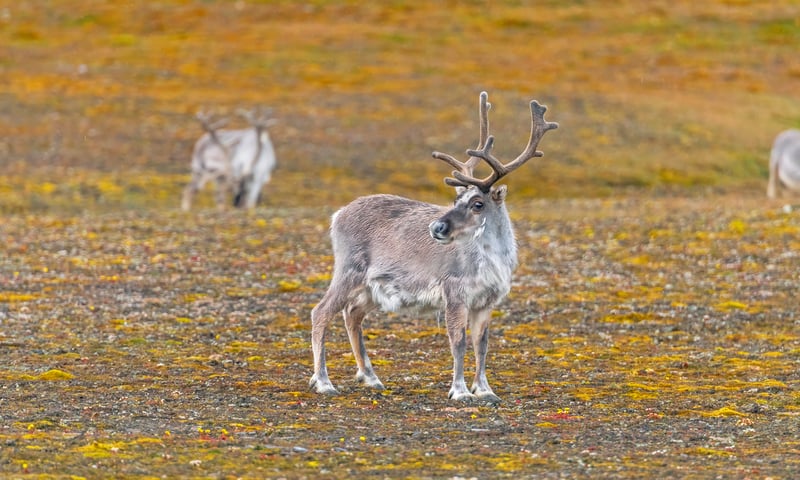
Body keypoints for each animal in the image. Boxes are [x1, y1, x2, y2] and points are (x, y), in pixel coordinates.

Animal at [309, 92, 558, 403]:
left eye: (478, 203)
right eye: (456, 200)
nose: (436, 227)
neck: (495, 262)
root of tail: (337, 215)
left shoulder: (486, 302)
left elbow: (482, 344)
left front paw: (485, 390)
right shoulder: (455, 292)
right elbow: (458, 341)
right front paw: (460, 391)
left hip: (372, 287)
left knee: (352, 314)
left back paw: (370, 377)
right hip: (348, 270)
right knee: (320, 312)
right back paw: (323, 382)